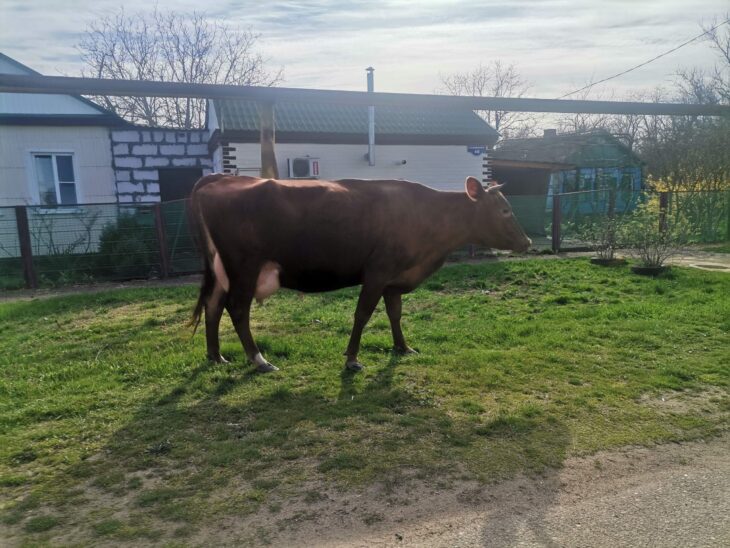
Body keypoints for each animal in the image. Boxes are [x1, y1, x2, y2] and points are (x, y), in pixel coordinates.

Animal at [188, 176, 528, 372]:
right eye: (505, 211)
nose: (526, 242)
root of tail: (219, 180)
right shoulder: (378, 272)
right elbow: (363, 314)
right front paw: (352, 358)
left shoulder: (393, 280)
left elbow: (395, 313)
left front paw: (403, 348)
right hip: (244, 268)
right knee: (237, 309)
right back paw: (259, 360)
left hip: (223, 271)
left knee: (213, 306)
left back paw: (215, 357)